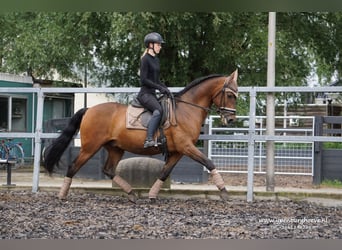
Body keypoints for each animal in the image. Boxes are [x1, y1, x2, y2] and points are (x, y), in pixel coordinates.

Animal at [44, 69, 239, 202]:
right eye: (230, 95)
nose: (231, 119)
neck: (186, 109)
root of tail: (89, 109)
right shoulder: (186, 147)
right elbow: (209, 162)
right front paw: (224, 192)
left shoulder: (179, 151)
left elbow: (164, 172)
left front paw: (152, 195)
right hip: (90, 147)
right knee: (73, 167)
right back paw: (62, 195)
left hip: (115, 148)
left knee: (108, 170)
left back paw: (131, 194)